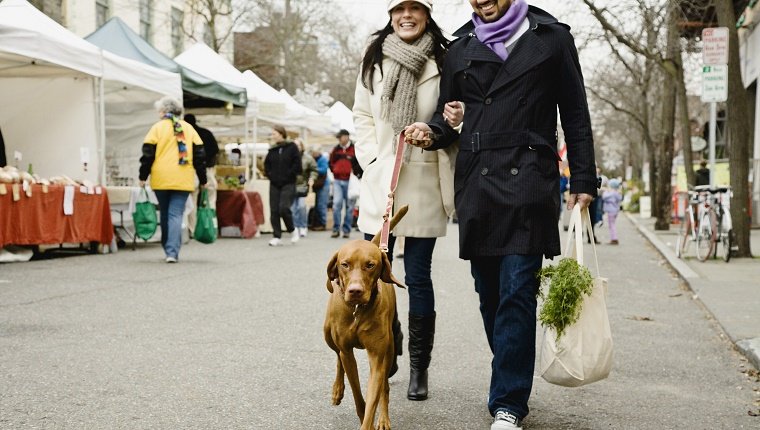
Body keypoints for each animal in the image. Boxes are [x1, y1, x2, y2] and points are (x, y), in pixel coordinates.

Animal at [326, 206, 410, 430]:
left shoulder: (378, 356)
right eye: (345, 264)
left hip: (389, 349)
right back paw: (337, 389)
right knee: (337, 356)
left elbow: (374, 396)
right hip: (327, 335)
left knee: (385, 388)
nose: (355, 291)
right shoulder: (347, 352)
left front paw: (372, 420)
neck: (357, 310)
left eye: (370, 265)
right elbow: (357, 393)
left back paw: (384, 418)